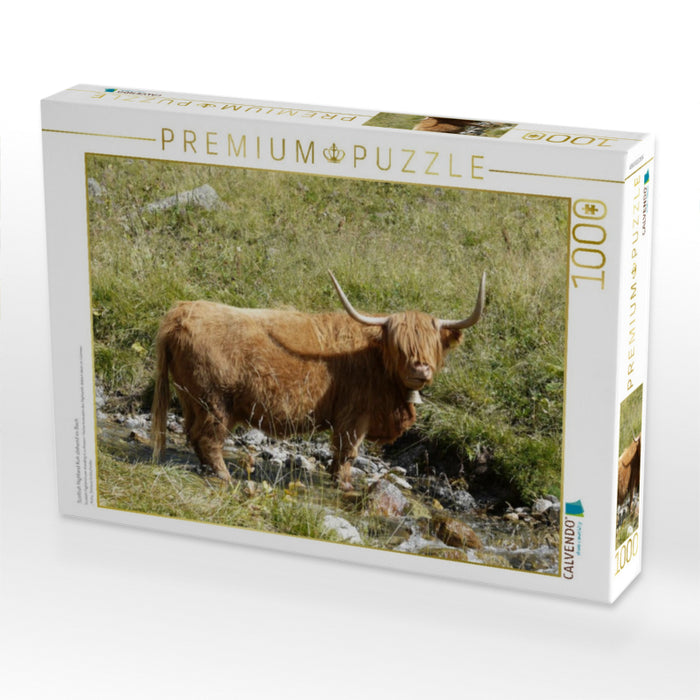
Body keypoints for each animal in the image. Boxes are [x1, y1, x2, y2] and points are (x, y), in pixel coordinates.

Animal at [151, 271, 485, 490]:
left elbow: (341, 454)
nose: (420, 370)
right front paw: (344, 485)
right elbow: (348, 452)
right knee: (208, 438)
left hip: (190, 397)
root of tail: (181, 311)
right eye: (399, 345)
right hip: (215, 400)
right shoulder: (354, 416)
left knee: (193, 433)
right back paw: (224, 475)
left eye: (432, 345)